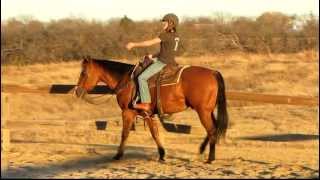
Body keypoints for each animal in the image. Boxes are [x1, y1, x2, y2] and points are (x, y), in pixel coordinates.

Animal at [74, 57, 229, 164]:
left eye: (84, 72)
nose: (77, 91)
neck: (126, 81)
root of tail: (213, 72)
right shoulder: (148, 114)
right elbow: (155, 133)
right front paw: (162, 154)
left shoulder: (127, 112)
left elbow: (124, 134)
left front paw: (118, 155)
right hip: (208, 111)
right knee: (213, 128)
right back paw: (202, 150)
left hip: (202, 111)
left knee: (211, 130)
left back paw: (210, 158)